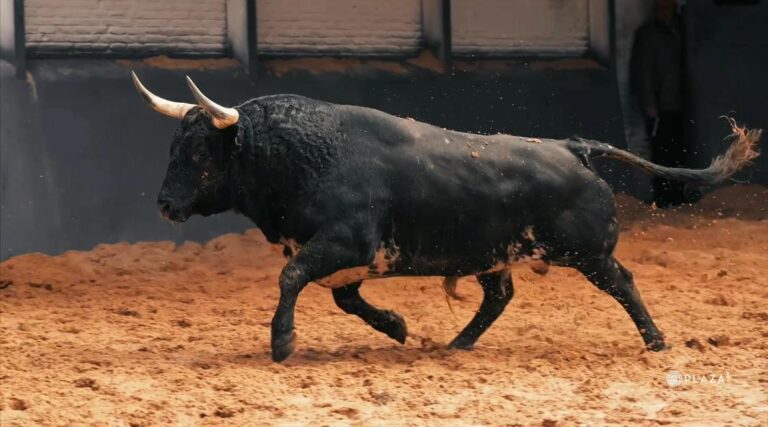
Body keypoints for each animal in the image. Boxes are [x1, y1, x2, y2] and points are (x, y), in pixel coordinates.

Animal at [132, 72, 761, 362]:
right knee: (498, 298)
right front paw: (396, 326)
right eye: (173, 146)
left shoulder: (344, 243)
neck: (306, 154)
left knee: (624, 283)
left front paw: (283, 342)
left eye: (198, 152)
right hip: (497, 257)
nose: (164, 205)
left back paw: (656, 341)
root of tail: (571, 147)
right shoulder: (348, 259)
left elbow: (292, 278)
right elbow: (345, 298)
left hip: (588, 254)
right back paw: (456, 345)